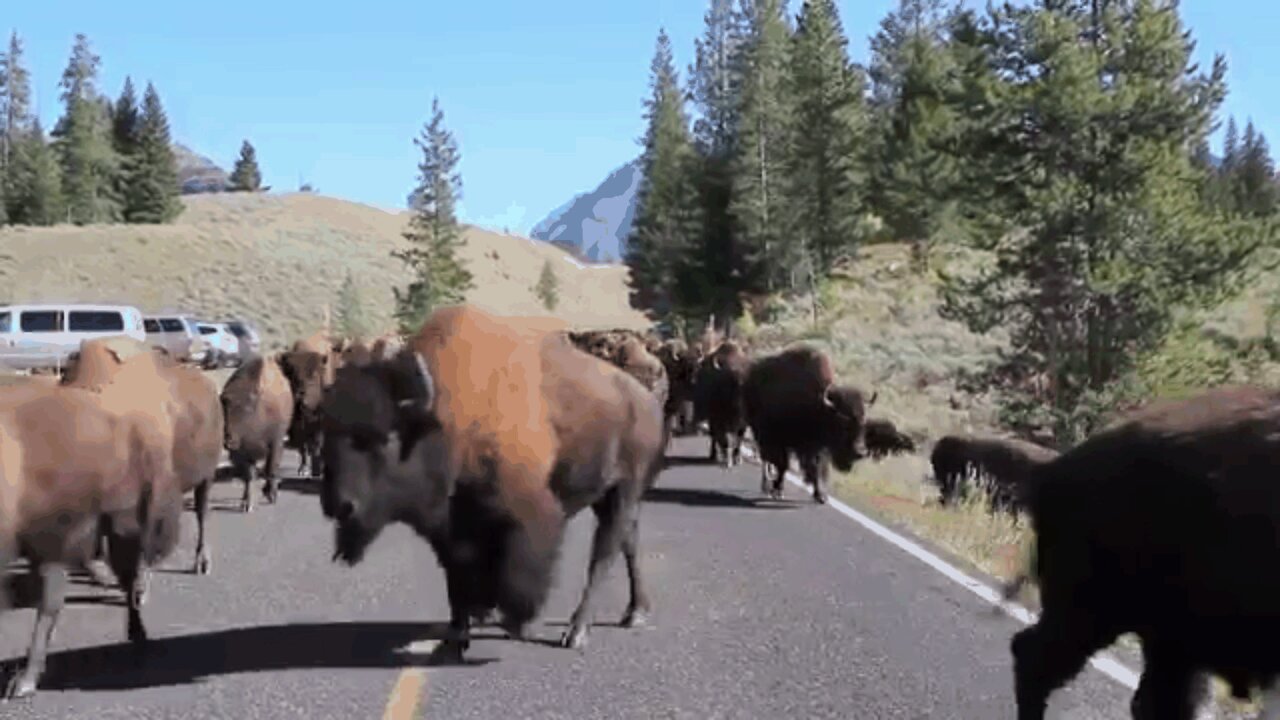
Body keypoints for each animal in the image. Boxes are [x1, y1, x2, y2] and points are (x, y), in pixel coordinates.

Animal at [224, 351, 298, 509]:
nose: (229, 441)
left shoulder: (276, 442)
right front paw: (247, 503)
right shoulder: (243, 452)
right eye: (224, 409)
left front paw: (271, 494)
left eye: (247, 409)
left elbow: (270, 467)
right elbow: (249, 475)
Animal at [318, 304, 665, 661]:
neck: (443, 420)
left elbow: (518, 574)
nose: (340, 505)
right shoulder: (451, 531)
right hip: (608, 496)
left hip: (625, 489)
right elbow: (457, 581)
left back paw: (577, 631)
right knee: (628, 542)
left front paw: (519, 624)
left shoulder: (528, 516)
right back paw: (634, 612)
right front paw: (458, 634)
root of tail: (646, 401)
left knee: (604, 554)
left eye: (385, 437)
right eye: (326, 433)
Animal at [747, 343, 875, 502]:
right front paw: (777, 489)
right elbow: (783, 465)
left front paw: (821, 495)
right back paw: (766, 485)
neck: (819, 407)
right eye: (843, 422)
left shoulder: (818, 447)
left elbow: (818, 468)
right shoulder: (780, 440)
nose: (860, 452)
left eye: (864, 422)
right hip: (761, 433)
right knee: (766, 460)